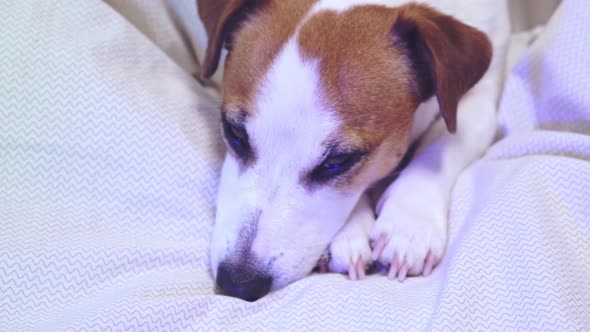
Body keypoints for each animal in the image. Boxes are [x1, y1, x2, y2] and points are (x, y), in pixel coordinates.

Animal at [197, 0, 512, 300]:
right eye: (235, 132)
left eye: (338, 161)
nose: (238, 282)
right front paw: (350, 232)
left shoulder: (480, 102)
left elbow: (444, 144)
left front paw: (408, 222)